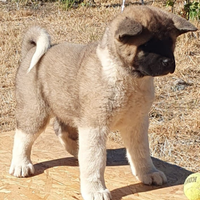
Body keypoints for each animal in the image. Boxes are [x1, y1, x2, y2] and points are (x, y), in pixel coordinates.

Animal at [9, 5, 197, 199]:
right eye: (146, 46)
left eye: (170, 43)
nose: (168, 62)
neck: (126, 77)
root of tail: (30, 52)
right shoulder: (95, 126)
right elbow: (95, 160)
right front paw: (95, 190)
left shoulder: (137, 124)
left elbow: (141, 152)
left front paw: (148, 173)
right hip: (35, 111)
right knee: (23, 136)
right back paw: (21, 164)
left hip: (68, 105)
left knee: (61, 130)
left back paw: (76, 150)